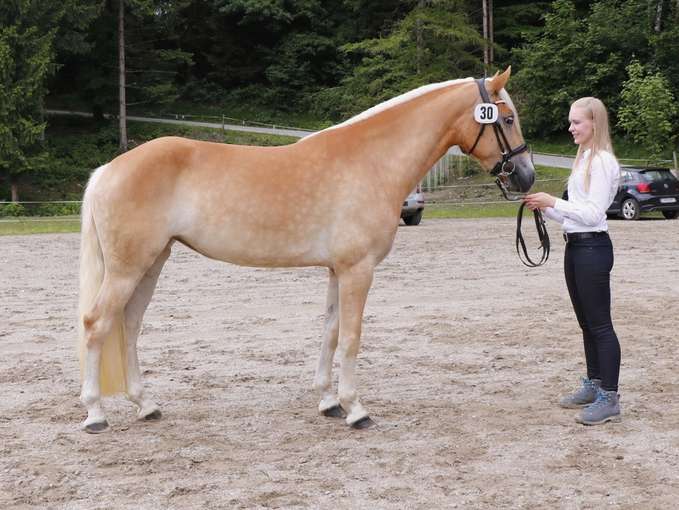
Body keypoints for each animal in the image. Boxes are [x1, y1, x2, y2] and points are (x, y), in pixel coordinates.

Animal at [78, 65, 536, 432]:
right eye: (508, 118)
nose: (525, 177)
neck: (371, 161)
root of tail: (108, 170)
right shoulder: (358, 269)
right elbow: (351, 336)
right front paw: (356, 409)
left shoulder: (338, 269)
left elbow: (330, 331)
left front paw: (329, 402)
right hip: (127, 268)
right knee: (97, 324)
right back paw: (96, 414)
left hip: (151, 263)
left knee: (130, 326)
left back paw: (146, 405)